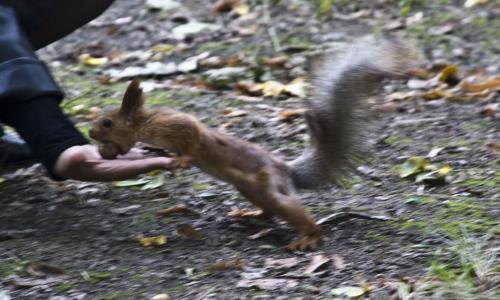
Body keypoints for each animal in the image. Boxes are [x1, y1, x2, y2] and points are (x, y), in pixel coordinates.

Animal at [89, 38, 410, 250]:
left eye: (107, 122)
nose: (90, 134)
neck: (145, 125)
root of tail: (285, 170)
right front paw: (158, 151)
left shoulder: (177, 125)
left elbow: (193, 139)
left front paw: (182, 158)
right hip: (249, 189)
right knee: (267, 211)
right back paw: (249, 215)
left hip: (267, 187)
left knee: (289, 210)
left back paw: (310, 237)